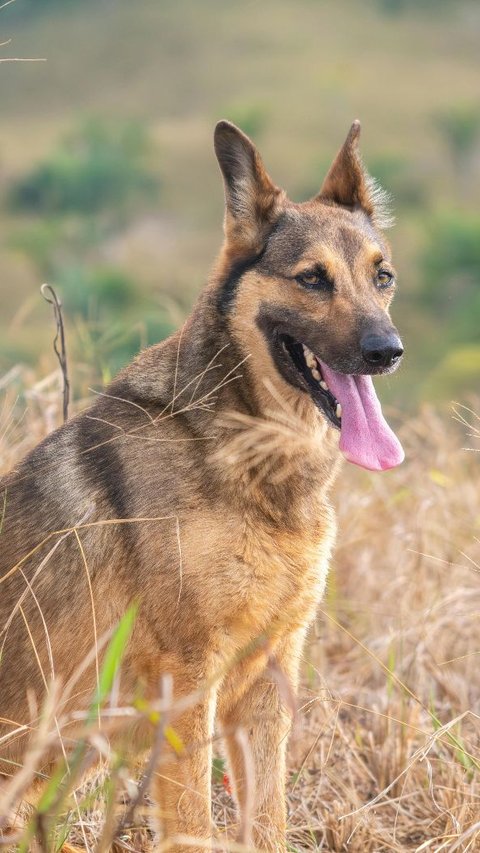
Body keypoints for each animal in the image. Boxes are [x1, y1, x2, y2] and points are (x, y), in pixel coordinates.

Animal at [0, 121, 404, 852]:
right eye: (312, 279)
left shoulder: (267, 685)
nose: (388, 351)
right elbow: (194, 826)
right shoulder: (185, 684)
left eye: (381, 277)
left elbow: (268, 824)